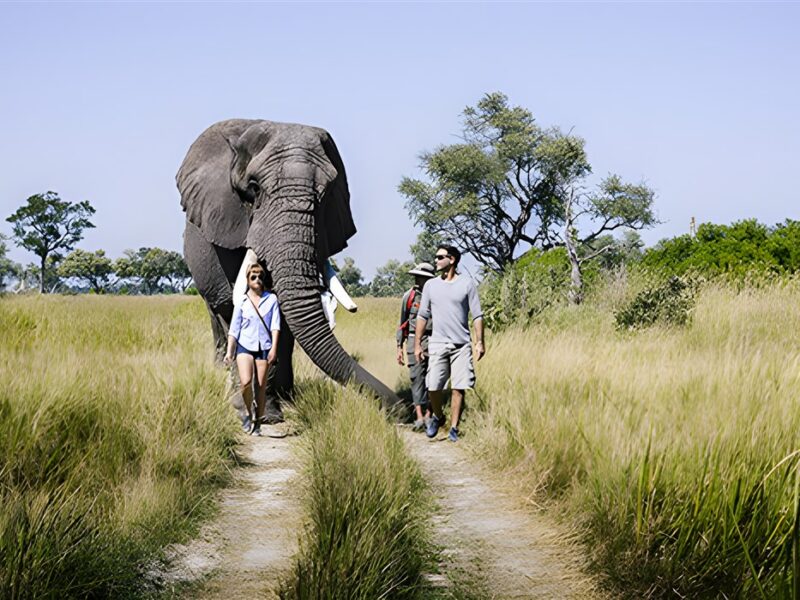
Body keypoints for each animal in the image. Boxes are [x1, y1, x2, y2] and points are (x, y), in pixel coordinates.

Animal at [177, 119, 400, 420]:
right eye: (254, 188)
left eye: (327, 194)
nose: (407, 408)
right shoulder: (228, 223)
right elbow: (236, 305)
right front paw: (246, 409)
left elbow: (279, 314)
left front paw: (273, 408)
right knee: (218, 310)